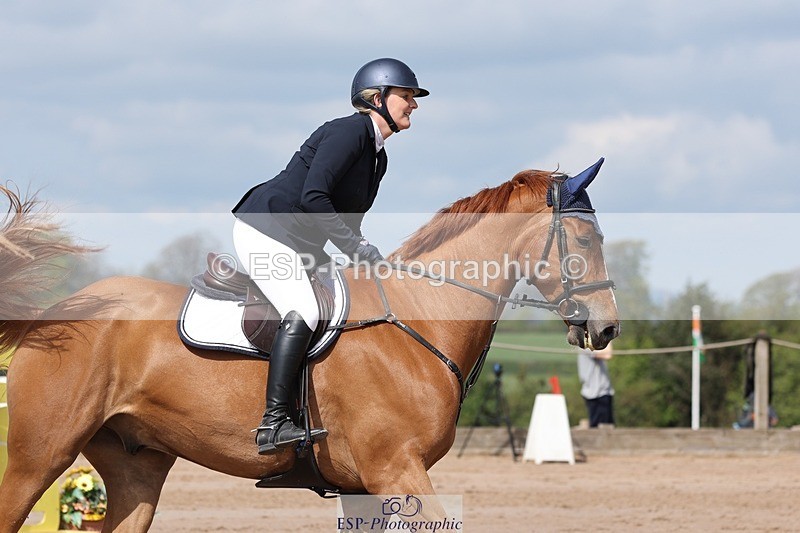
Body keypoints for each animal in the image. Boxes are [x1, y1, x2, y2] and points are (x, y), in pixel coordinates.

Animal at [0, 165, 618, 532]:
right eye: (585, 238)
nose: (607, 328)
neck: (419, 315)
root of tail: (51, 315)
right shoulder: (396, 470)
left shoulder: (366, 485)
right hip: (40, 455)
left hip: (136, 467)